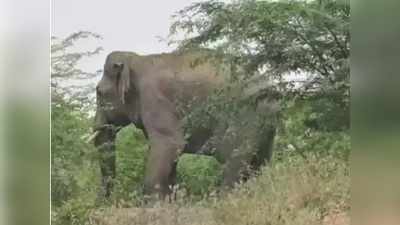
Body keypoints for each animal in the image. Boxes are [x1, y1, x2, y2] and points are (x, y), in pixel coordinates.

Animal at [91, 50, 278, 200]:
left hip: (243, 115)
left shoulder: (156, 100)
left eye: (99, 92)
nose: (106, 201)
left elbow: (169, 144)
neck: (135, 59)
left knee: (233, 160)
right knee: (258, 164)